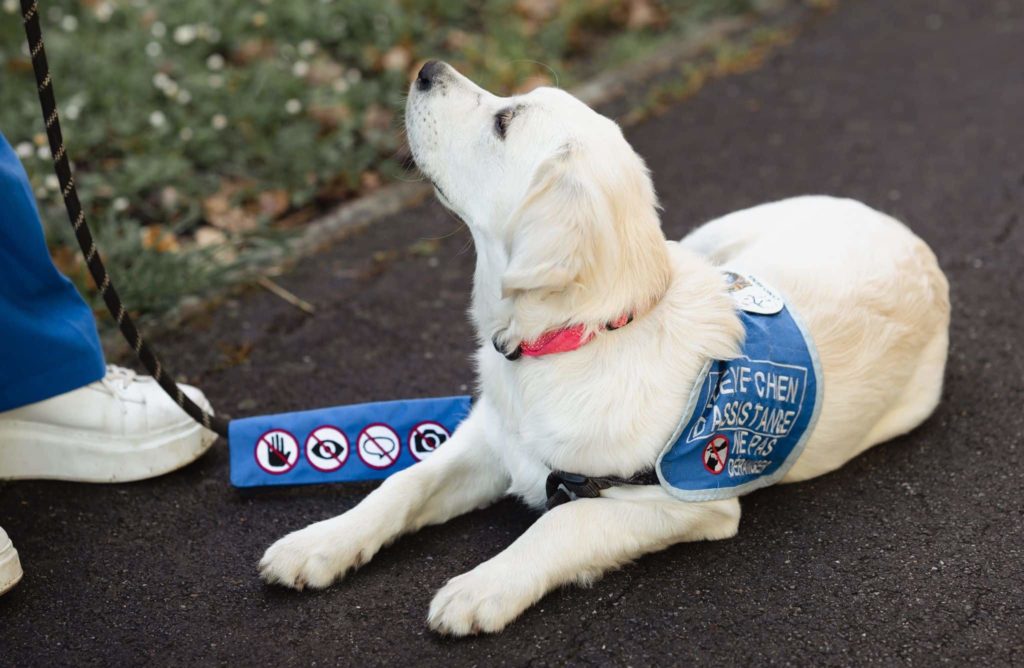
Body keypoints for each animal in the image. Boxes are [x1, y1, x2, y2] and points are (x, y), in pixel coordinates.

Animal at [258, 59, 950, 635]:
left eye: (504, 121)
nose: (426, 68)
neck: (574, 339)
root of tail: (905, 232)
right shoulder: (494, 438)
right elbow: (404, 482)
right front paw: (318, 543)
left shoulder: (681, 503)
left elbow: (563, 521)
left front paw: (482, 587)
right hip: (711, 239)